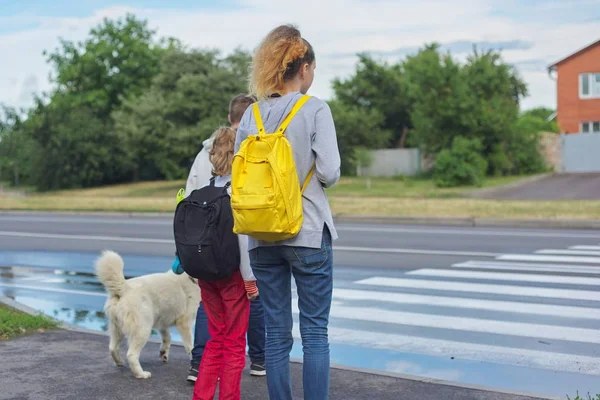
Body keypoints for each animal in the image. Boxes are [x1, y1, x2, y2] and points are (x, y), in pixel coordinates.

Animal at [95, 250, 200, 378]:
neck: (191, 278)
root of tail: (124, 288)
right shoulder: (185, 322)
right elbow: (190, 345)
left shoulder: (162, 321)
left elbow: (167, 337)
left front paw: (163, 353)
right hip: (143, 330)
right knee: (131, 355)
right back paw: (141, 374)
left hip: (117, 329)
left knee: (112, 348)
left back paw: (120, 363)